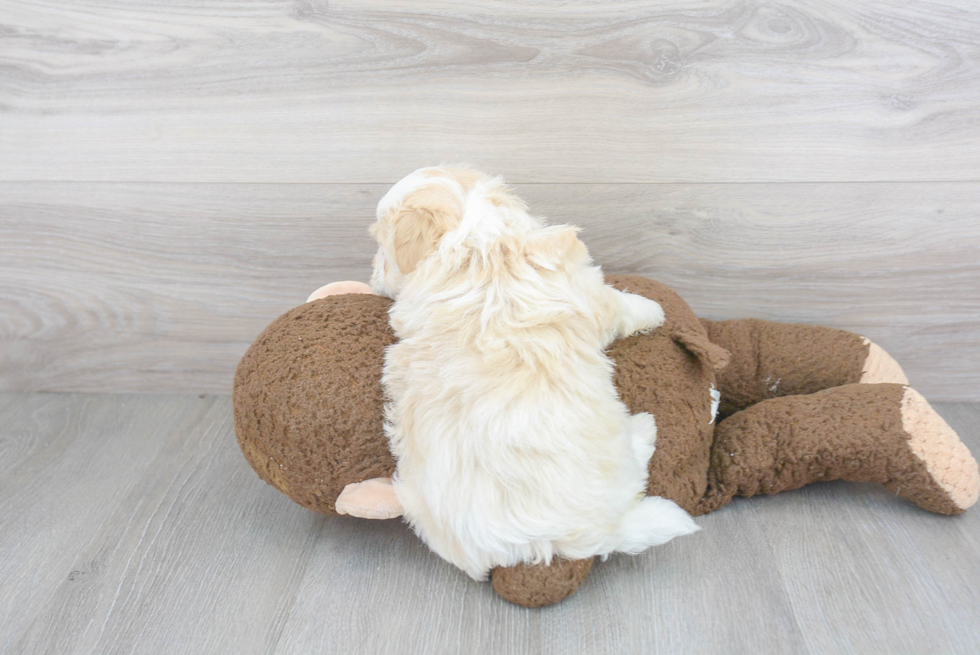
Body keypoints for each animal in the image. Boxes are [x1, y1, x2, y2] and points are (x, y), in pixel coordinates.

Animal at [368, 167, 696, 580]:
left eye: (382, 251)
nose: (372, 276)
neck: (471, 235)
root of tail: (544, 541)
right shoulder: (588, 293)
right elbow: (622, 305)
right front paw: (653, 309)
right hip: (616, 464)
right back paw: (645, 429)